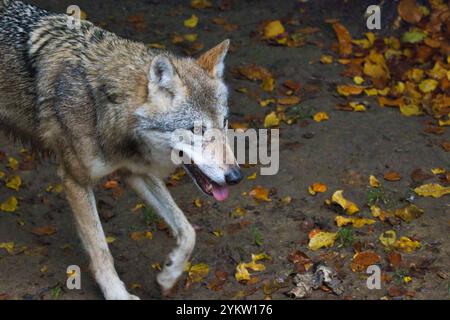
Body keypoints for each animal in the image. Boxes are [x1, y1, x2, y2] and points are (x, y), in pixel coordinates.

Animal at [0, 0, 243, 300]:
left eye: (225, 123)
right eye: (196, 130)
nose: (235, 177)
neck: (104, 106)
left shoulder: (134, 171)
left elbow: (188, 231)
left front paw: (169, 275)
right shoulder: (75, 180)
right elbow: (101, 249)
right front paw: (118, 293)